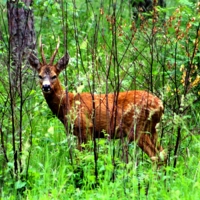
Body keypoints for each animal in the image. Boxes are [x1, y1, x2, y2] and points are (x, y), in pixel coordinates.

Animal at [28, 39, 166, 162]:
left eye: (54, 76)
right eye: (40, 76)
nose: (46, 86)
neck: (68, 104)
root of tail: (160, 105)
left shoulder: (85, 128)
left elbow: (81, 158)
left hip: (138, 127)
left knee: (156, 157)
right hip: (151, 128)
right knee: (163, 154)